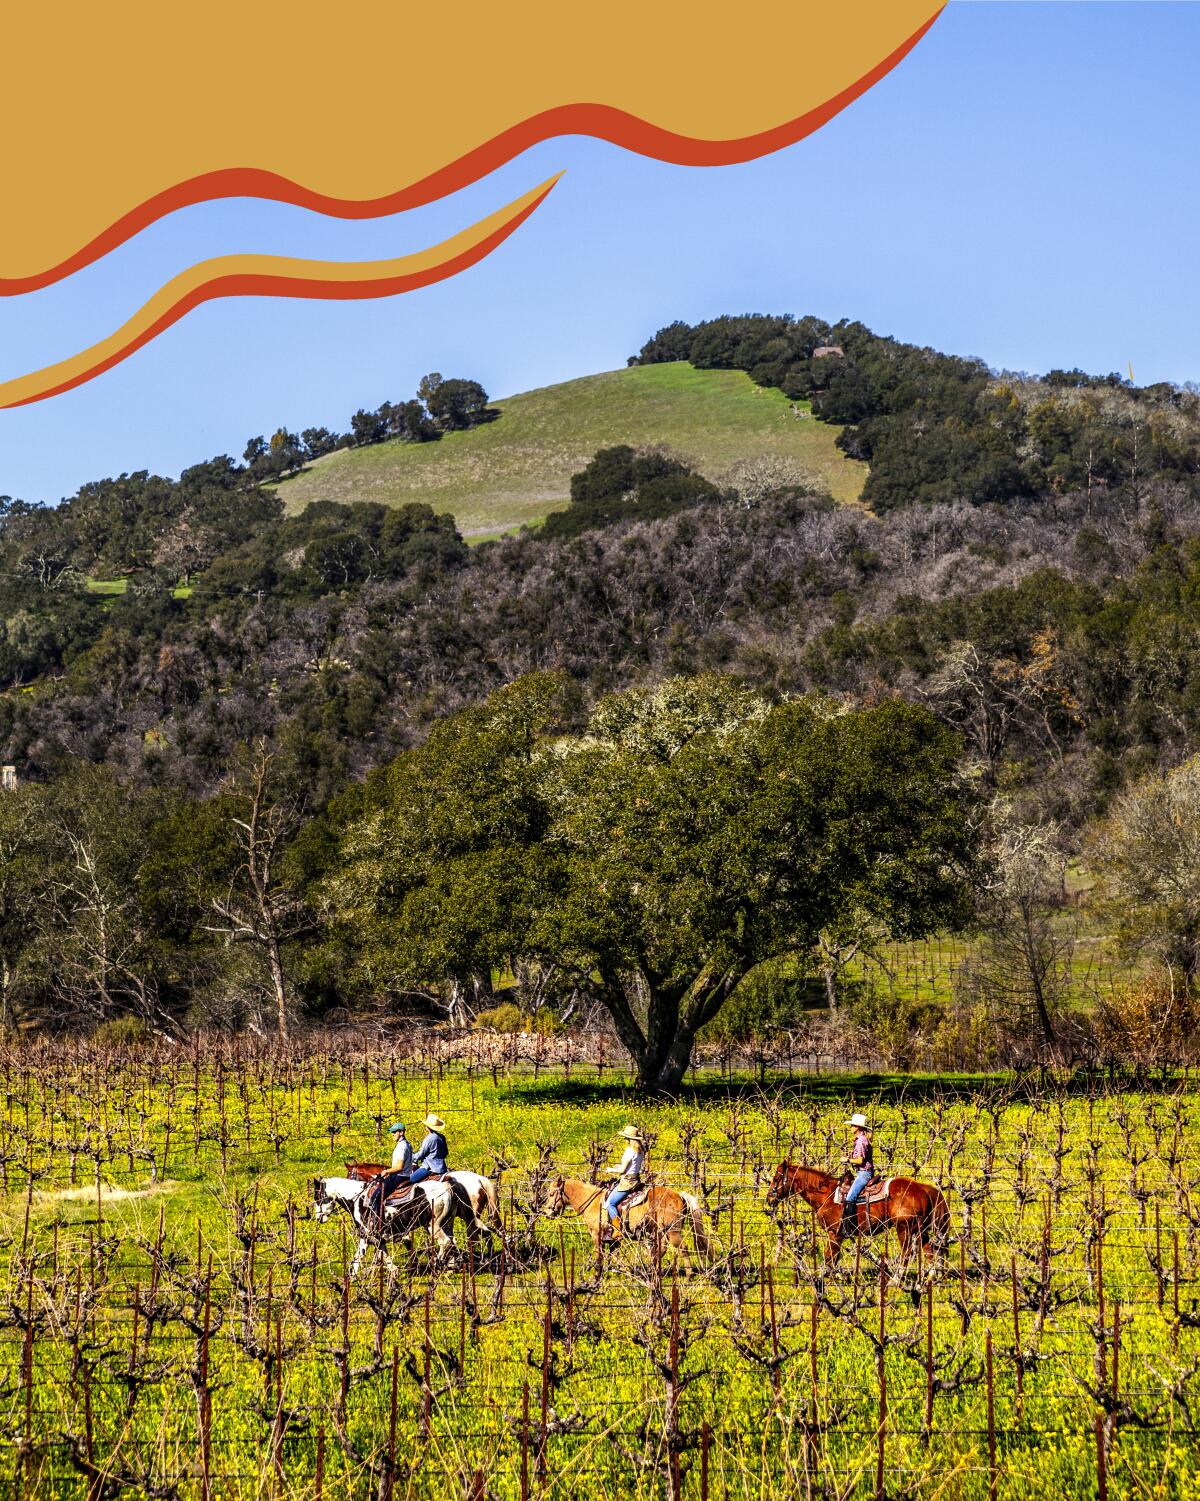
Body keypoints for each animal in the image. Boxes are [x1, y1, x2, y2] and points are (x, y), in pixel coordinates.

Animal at [312, 1176, 465, 1272]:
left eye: (317, 1197)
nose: (318, 1218)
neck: (357, 1199)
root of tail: (446, 1187)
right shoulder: (369, 1237)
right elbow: (360, 1258)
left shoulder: (368, 1235)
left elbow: (374, 1255)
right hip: (447, 1224)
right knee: (453, 1242)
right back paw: (451, 1266)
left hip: (433, 1225)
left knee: (445, 1242)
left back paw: (436, 1263)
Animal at [546, 1176, 714, 1272]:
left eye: (552, 1194)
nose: (547, 1212)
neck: (593, 1203)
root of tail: (679, 1195)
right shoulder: (613, 1239)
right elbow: (613, 1255)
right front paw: (616, 1271)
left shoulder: (597, 1234)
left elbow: (600, 1254)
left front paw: (598, 1273)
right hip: (661, 1231)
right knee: (663, 1248)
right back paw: (653, 1269)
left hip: (672, 1230)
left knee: (682, 1247)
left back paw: (688, 1274)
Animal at [768, 1158, 949, 1266]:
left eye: (776, 1178)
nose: (769, 1198)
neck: (827, 1195)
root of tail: (923, 1189)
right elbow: (832, 1258)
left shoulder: (835, 1233)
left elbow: (829, 1258)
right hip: (921, 1230)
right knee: (929, 1253)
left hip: (904, 1228)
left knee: (907, 1254)